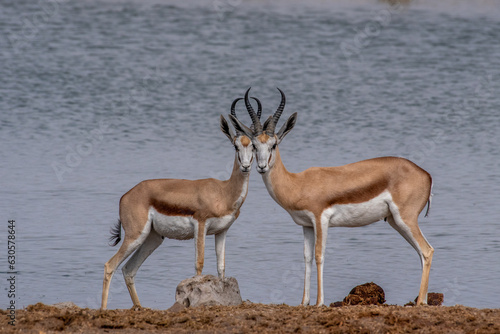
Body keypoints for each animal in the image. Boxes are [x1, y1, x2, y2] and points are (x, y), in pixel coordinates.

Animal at [100, 97, 260, 310]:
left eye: (254, 146)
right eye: (236, 146)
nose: (245, 166)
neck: (224, 191)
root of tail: (126, 196)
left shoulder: (222, 231)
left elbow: (221, 268)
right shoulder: (201, 225)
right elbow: (199, 264)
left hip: (152, 238)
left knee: (128, 269)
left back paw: (140, 307)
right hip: (136, 235)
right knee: (110, 265)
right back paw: (103, 310)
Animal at [230, 87, 434, 306]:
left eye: (274, 144)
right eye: (253, 145)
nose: (261, 167)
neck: (298, 183)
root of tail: (426, 175)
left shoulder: (321, 219)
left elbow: (319, 255)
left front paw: (319, 302)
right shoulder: (306, 225)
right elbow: (307, 258)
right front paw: (304, 302)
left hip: (406, 218)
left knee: (427, 250)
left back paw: (420, 302)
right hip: (396, 221)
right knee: (421, 253)